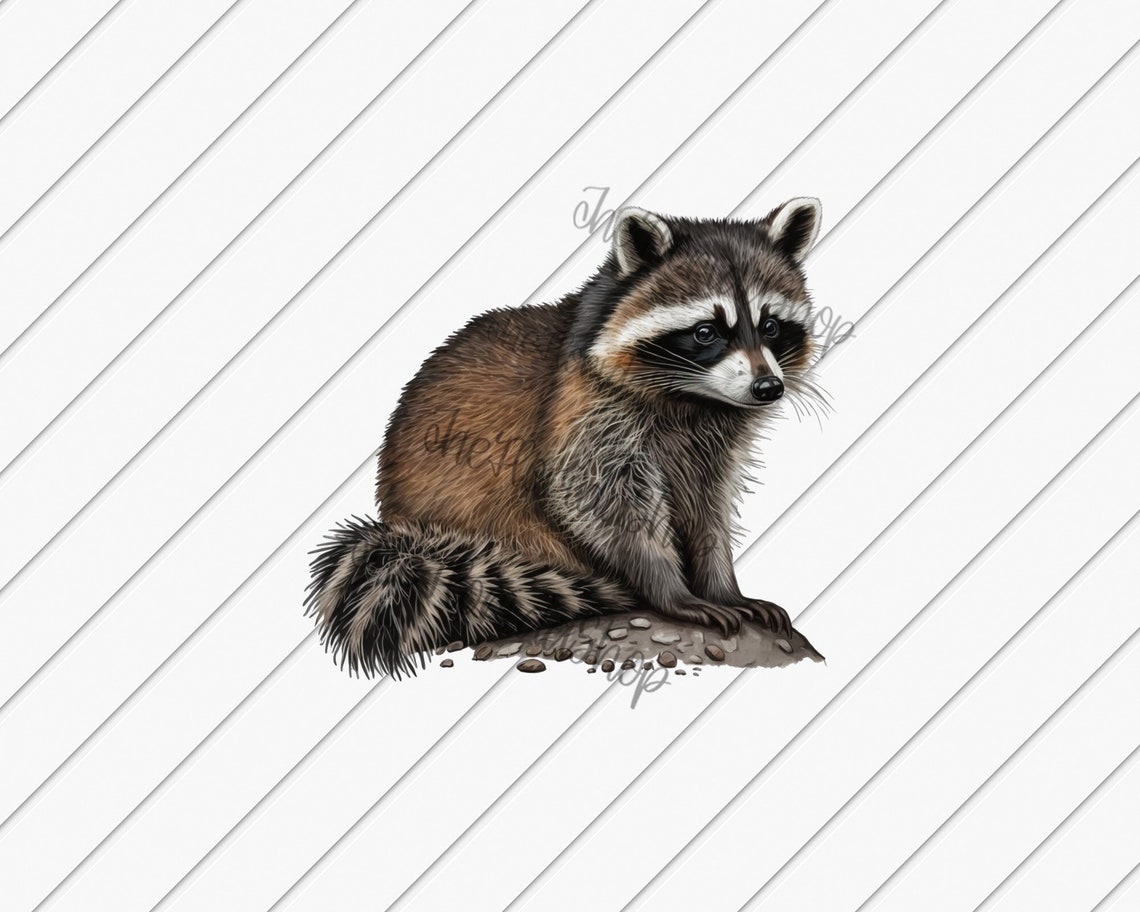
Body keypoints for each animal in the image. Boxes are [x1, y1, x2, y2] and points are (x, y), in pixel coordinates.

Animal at [306, 198, 826, 678]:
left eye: (771, 326)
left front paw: (721, 583)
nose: (768, 388)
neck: (696, 398)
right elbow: (596, 495)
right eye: (705, 332)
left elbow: (708, 505)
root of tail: (399, 525)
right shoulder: (586, 406)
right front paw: (669, 587)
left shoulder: (714, 438)